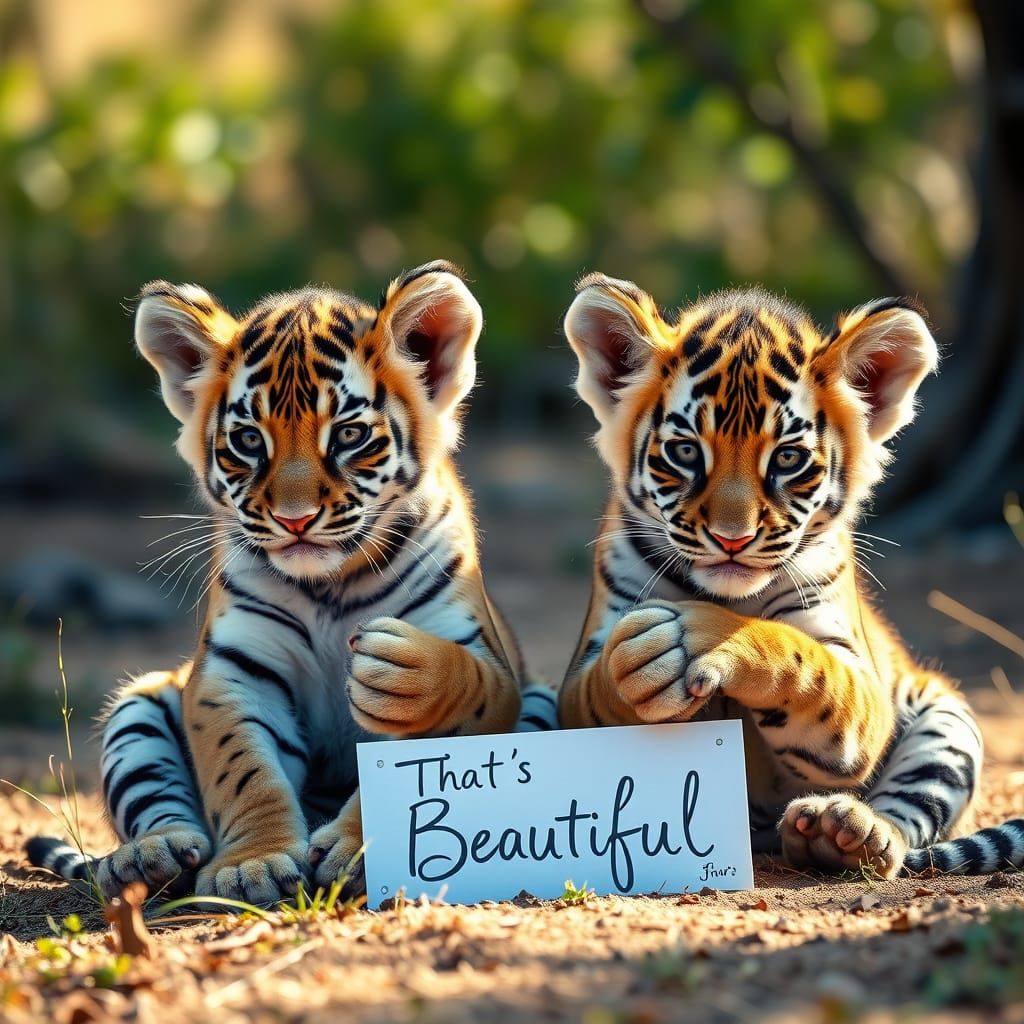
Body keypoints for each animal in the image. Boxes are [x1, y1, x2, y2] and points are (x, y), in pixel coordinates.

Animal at [26, 260, 558, 903]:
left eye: (349, 436)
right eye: (250, 440)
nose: (295, 519)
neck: (334, 585)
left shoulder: (481, 656)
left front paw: (359, 849)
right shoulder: (233, 671)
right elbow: (244, 769)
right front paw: (252, 864)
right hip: (139, 704)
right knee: (157, 811)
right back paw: (149, 857)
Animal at [558, 272, 1024, 878]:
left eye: (786, 460)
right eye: (685, 452)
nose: (732, 539)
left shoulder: (858, 682)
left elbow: (804, 659)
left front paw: (697, 638)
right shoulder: (580, 676)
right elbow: (601, 682)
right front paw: (638, 663)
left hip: (947, 720)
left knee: (905, 816)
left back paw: (845, 831)